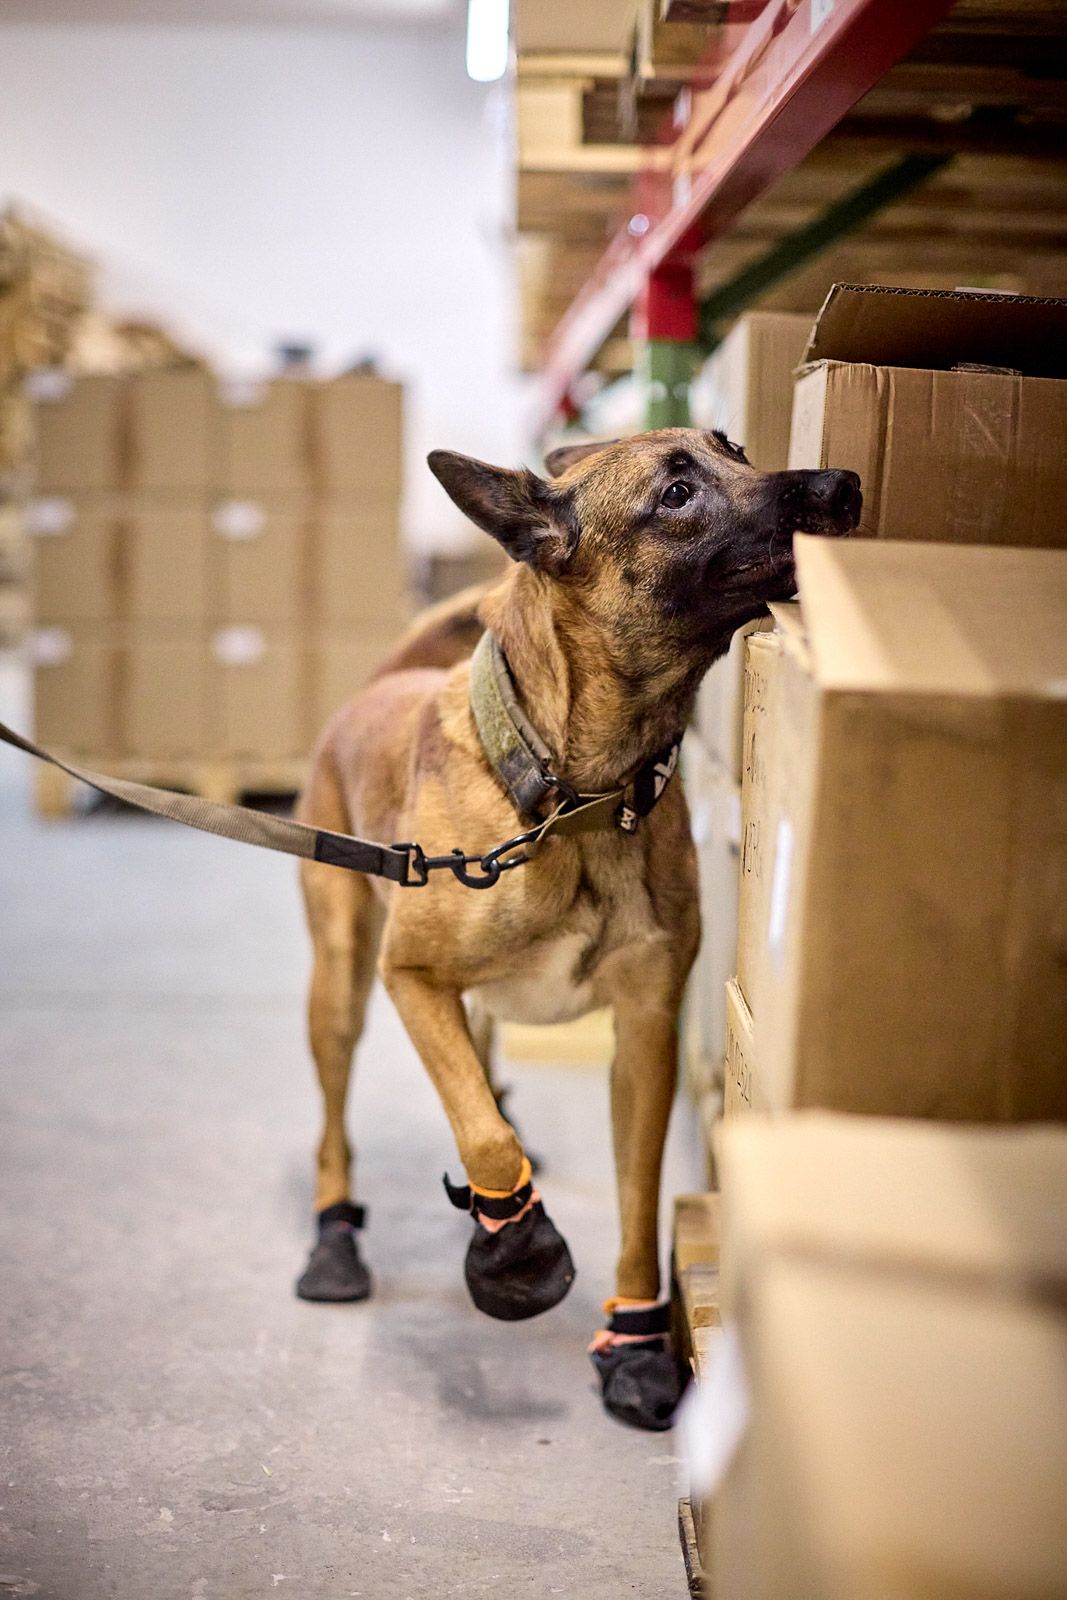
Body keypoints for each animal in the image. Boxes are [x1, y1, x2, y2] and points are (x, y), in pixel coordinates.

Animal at [295, 425, 863, 1427]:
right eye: (675, 493)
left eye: (735, 448)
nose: (844, 485)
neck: (576, 800)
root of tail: (380, 686)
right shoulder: (413, 980)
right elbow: (484, 1136)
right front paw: (515, 1250)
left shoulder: (642, 1037)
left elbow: (635, 1200)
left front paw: (631, 1341)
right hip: (343, 987)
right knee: (340, 1126)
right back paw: (335, 1237)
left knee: (479, 1070)